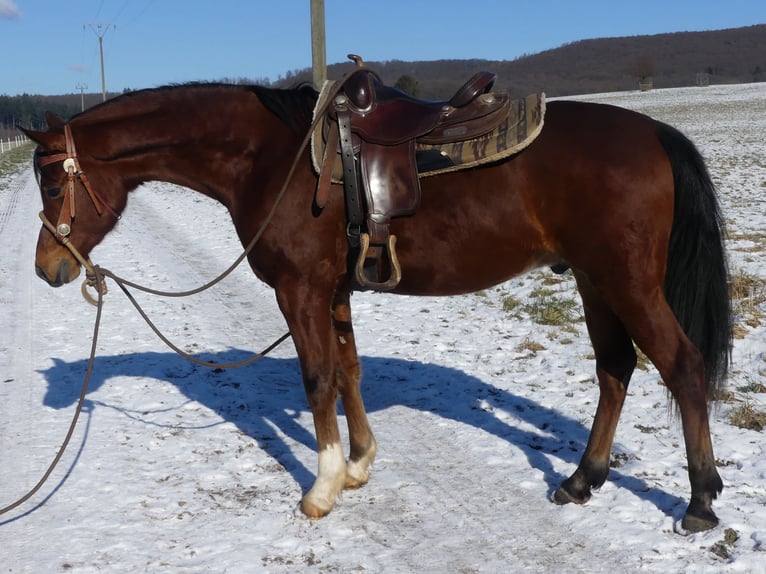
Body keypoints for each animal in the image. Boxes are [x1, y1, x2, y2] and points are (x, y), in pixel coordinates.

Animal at [22, 81, 732, 536]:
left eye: (54, 182)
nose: (47, 269)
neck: (271, 158)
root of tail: (654, 133)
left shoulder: (299, 290)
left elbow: (316, 379)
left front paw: (322, 488)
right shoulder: (334, 291)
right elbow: (349, 371)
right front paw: (359, 463)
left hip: (627, 282)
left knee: (682, 366)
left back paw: (699, 502)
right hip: (593, 281)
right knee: (615, 370)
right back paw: (582, 480)